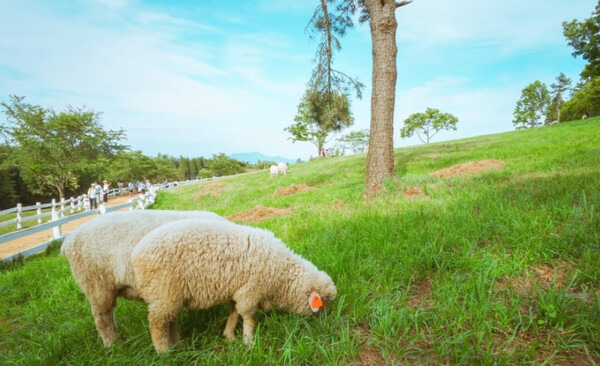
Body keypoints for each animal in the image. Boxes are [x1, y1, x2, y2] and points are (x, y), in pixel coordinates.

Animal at [132, 219, 338, 354]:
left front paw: (229, 335)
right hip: (164, 292)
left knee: (168, 320)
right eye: (323, 302)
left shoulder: (237, 290)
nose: (326, 322)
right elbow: (248, 317)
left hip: (169, 297)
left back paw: (176, 344)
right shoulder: (250, 291)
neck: (281, 273)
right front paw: (249, 342)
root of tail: (136, 254)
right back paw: (164, 352)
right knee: (156, 323)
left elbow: (234, 313)